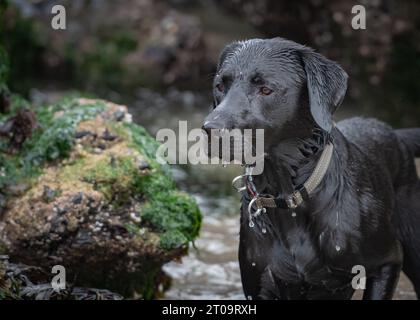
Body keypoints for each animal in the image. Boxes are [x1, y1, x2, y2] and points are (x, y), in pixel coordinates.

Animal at [203, 38, 420, 300]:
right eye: (219, 86)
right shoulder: (258, 283)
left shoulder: (388, 261)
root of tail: (395, 134)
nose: (211, 129)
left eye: (266, 89)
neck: (290, 196)